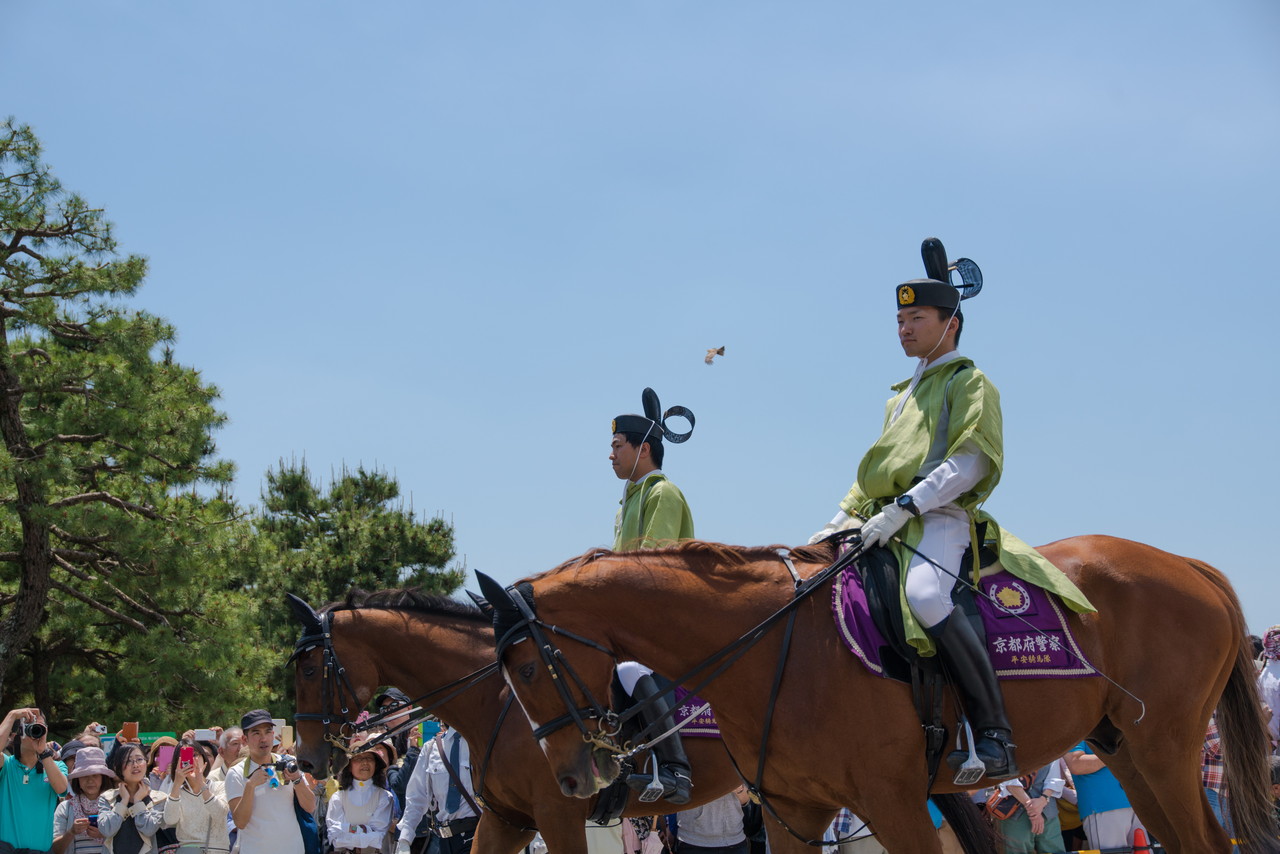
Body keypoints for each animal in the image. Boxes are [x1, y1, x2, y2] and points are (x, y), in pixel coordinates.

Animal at [478, 537, 1280, 850]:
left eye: (525, 670)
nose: (574, 779)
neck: (771, 643)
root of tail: (1186, 564)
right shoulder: (797, 814)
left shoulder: (894, 805)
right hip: (1130, 752)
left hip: (1166, 750)